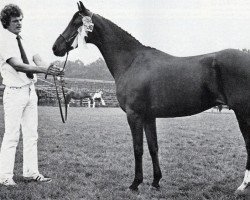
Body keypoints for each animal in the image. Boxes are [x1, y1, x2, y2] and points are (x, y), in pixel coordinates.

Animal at [52, 1, 250, 194]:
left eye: (76, 23)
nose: (55, 47)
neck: (131, 62)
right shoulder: (149, 116)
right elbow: (153, 147)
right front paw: (156, 181)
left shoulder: (134, 115)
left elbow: (138, 149)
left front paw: (135, 184)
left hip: (243, 113)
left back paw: (243, 185)